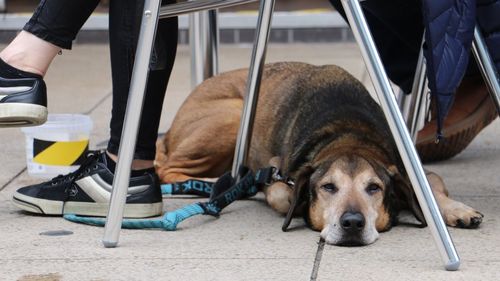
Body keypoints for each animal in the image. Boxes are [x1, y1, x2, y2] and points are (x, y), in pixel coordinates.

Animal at [154, 61, 482, 245]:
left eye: (373, 188)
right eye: (328, 187)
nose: (352, 223)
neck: (350, 135)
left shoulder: (411, 168)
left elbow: (433, 189)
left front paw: (457, 210)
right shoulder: (278, 170)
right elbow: (281, 194)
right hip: (234, 116)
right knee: (165, 168)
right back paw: (213, 185)